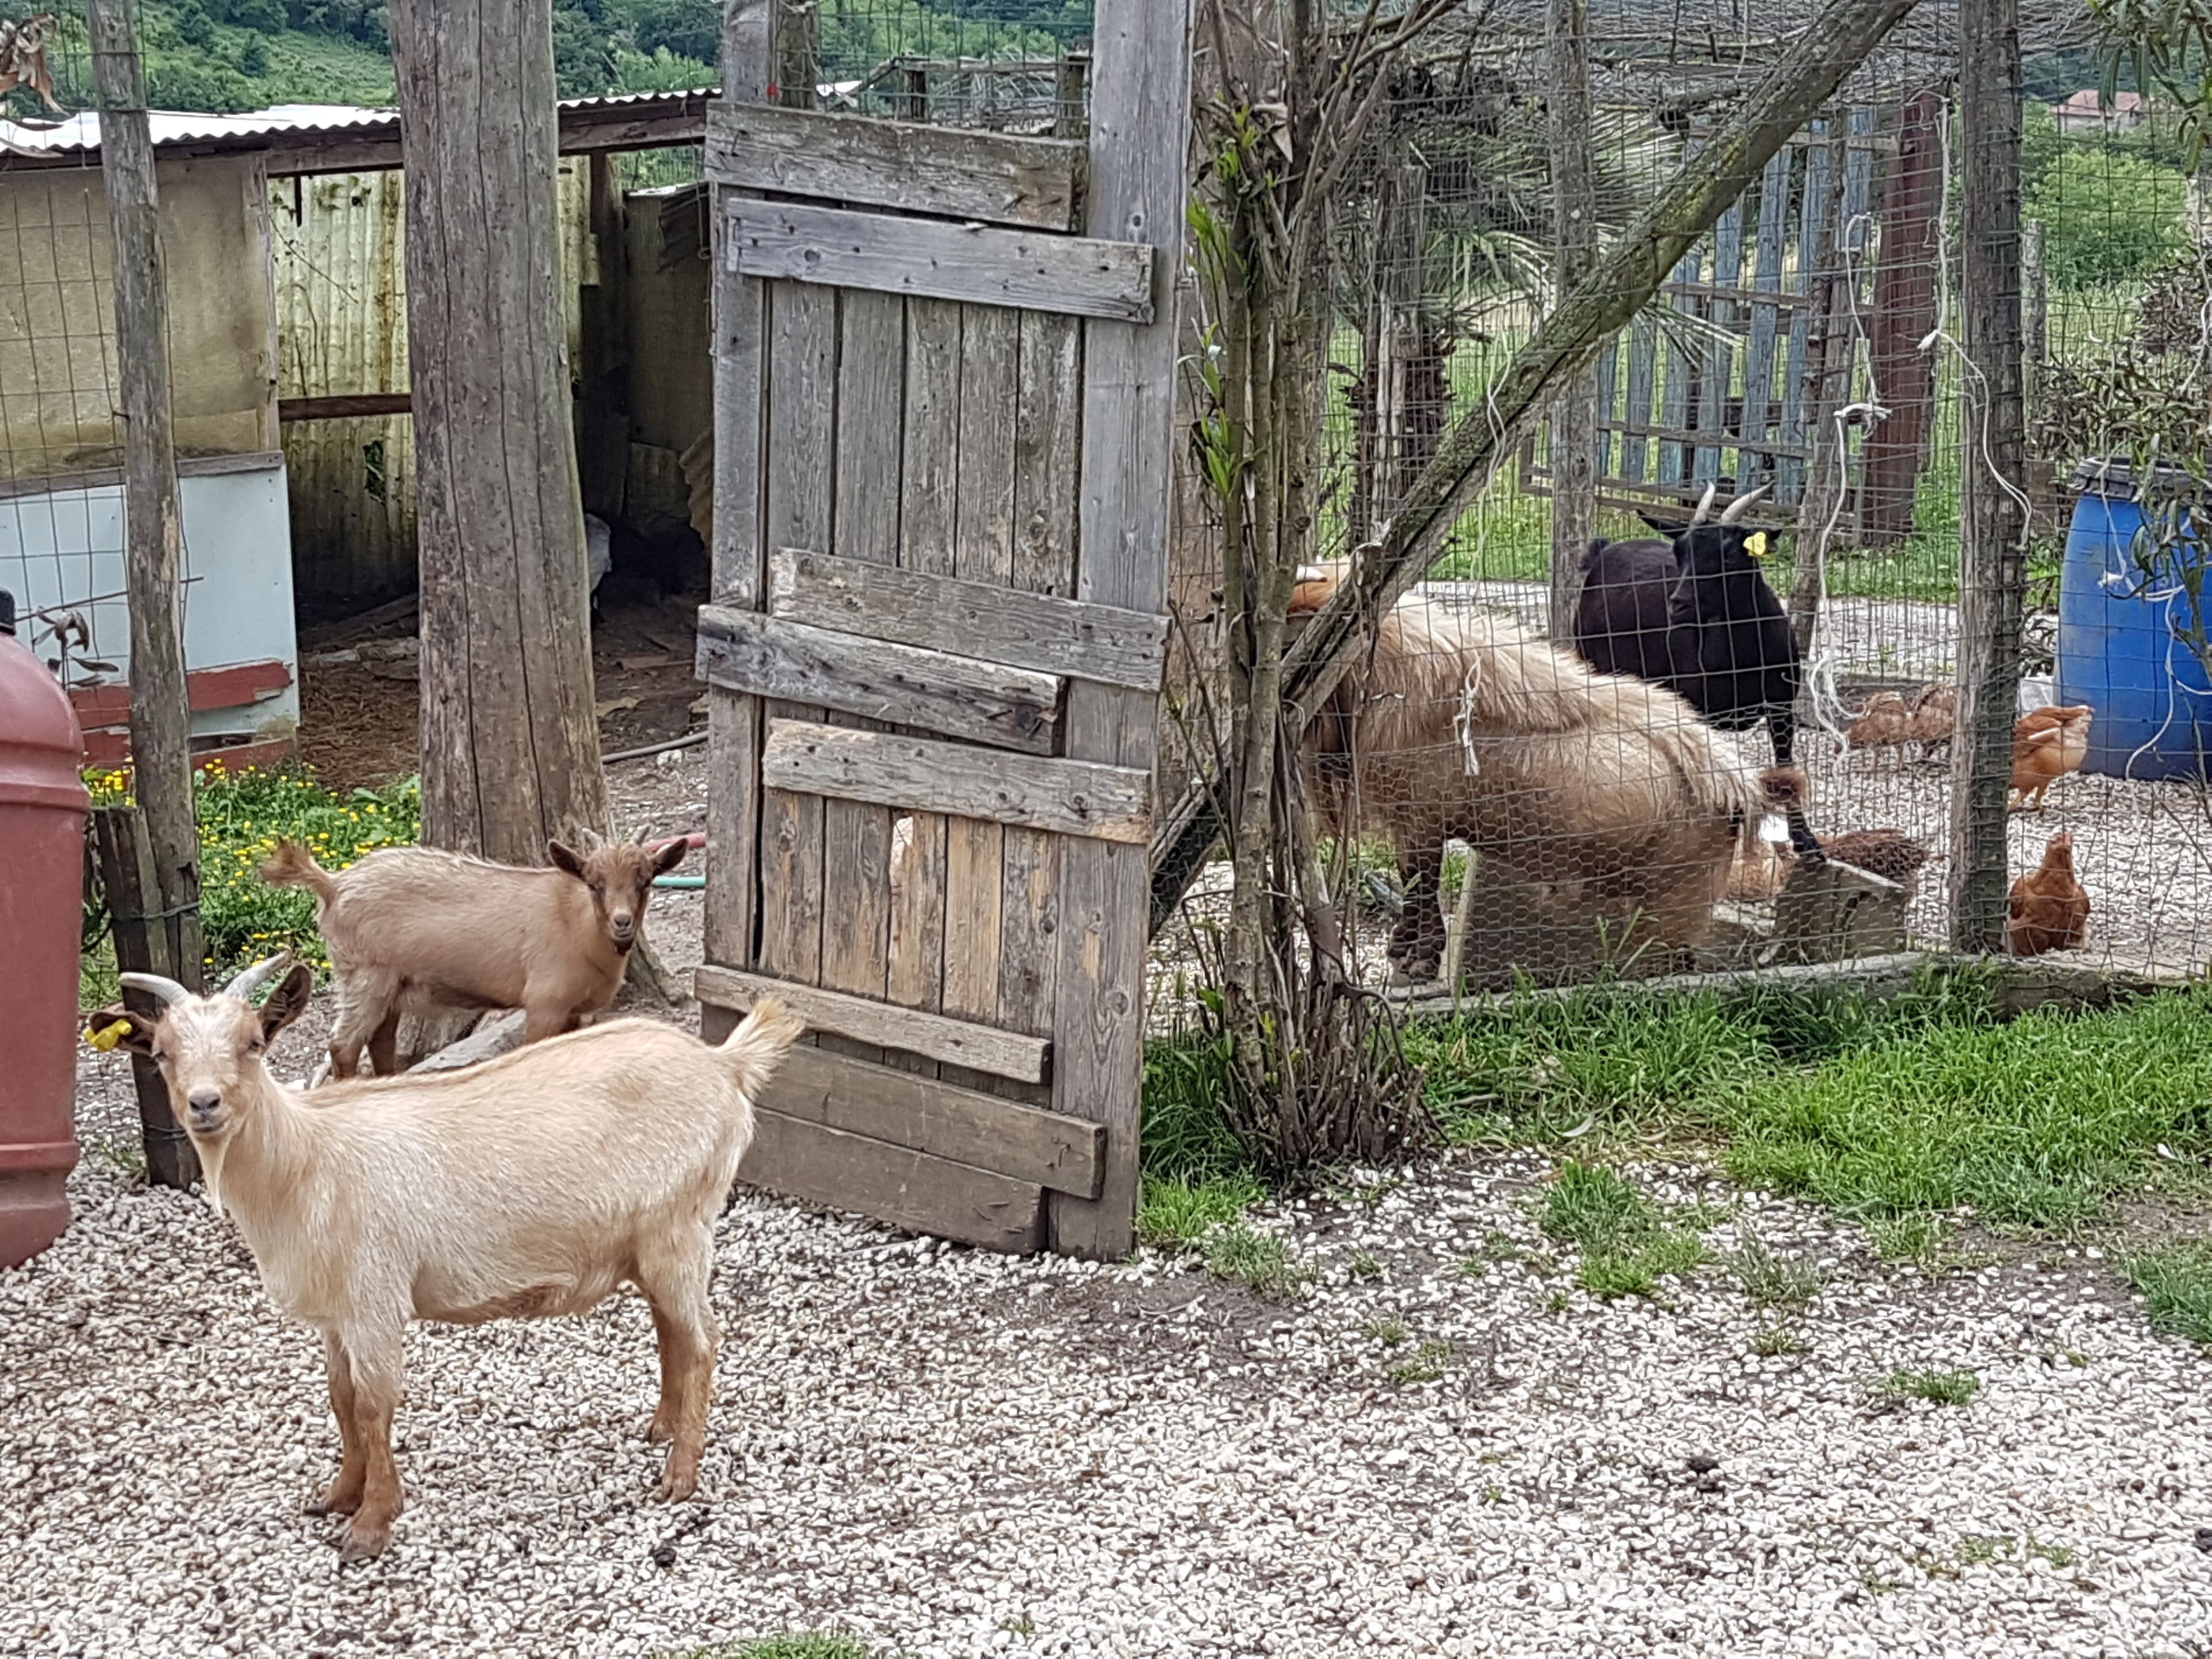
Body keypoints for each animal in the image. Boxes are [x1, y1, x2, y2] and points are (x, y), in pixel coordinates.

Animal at [88, 955, 803, 1561]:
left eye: (254, 1044)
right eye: (161, 1053)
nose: (204, 1105)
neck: (306, 1161)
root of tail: (726, 1065)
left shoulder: (375, 1298)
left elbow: (374, 1406)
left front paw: (371, 1525)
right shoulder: (336, 1314)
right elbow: (340, 1399)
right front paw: (336, 1496)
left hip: (680, 1227)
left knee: (703, 1339)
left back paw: (679, 1476)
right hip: (651, 1241)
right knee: (671, 1329)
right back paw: (660, 1429)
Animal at [262, 828, 687, 1079]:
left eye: (646, 881)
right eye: (594, 884)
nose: (622, 922)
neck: (577, 925)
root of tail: (333, 885)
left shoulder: (577, 1011)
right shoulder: (545, 1002)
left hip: (392, 983)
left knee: (380, 1041)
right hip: (365, 974)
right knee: (344, 1045)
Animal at [1292, 567, 1807, 982]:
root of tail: (1741, 783)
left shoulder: (1422, 819)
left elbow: (1422, 885)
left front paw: (1418, 959)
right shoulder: (1410, 823)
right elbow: (1412, 883)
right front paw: (1404, 950)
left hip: (1675, 897)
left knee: (1674, 962)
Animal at [1573, 482, 1819, 855]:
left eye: (1729, 557)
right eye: (1680, 554)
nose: (1679, 604)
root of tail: (1604, 552)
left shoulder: (1781, 705)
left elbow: (1786, 763)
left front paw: (1806, 839)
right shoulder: (1696, 709)